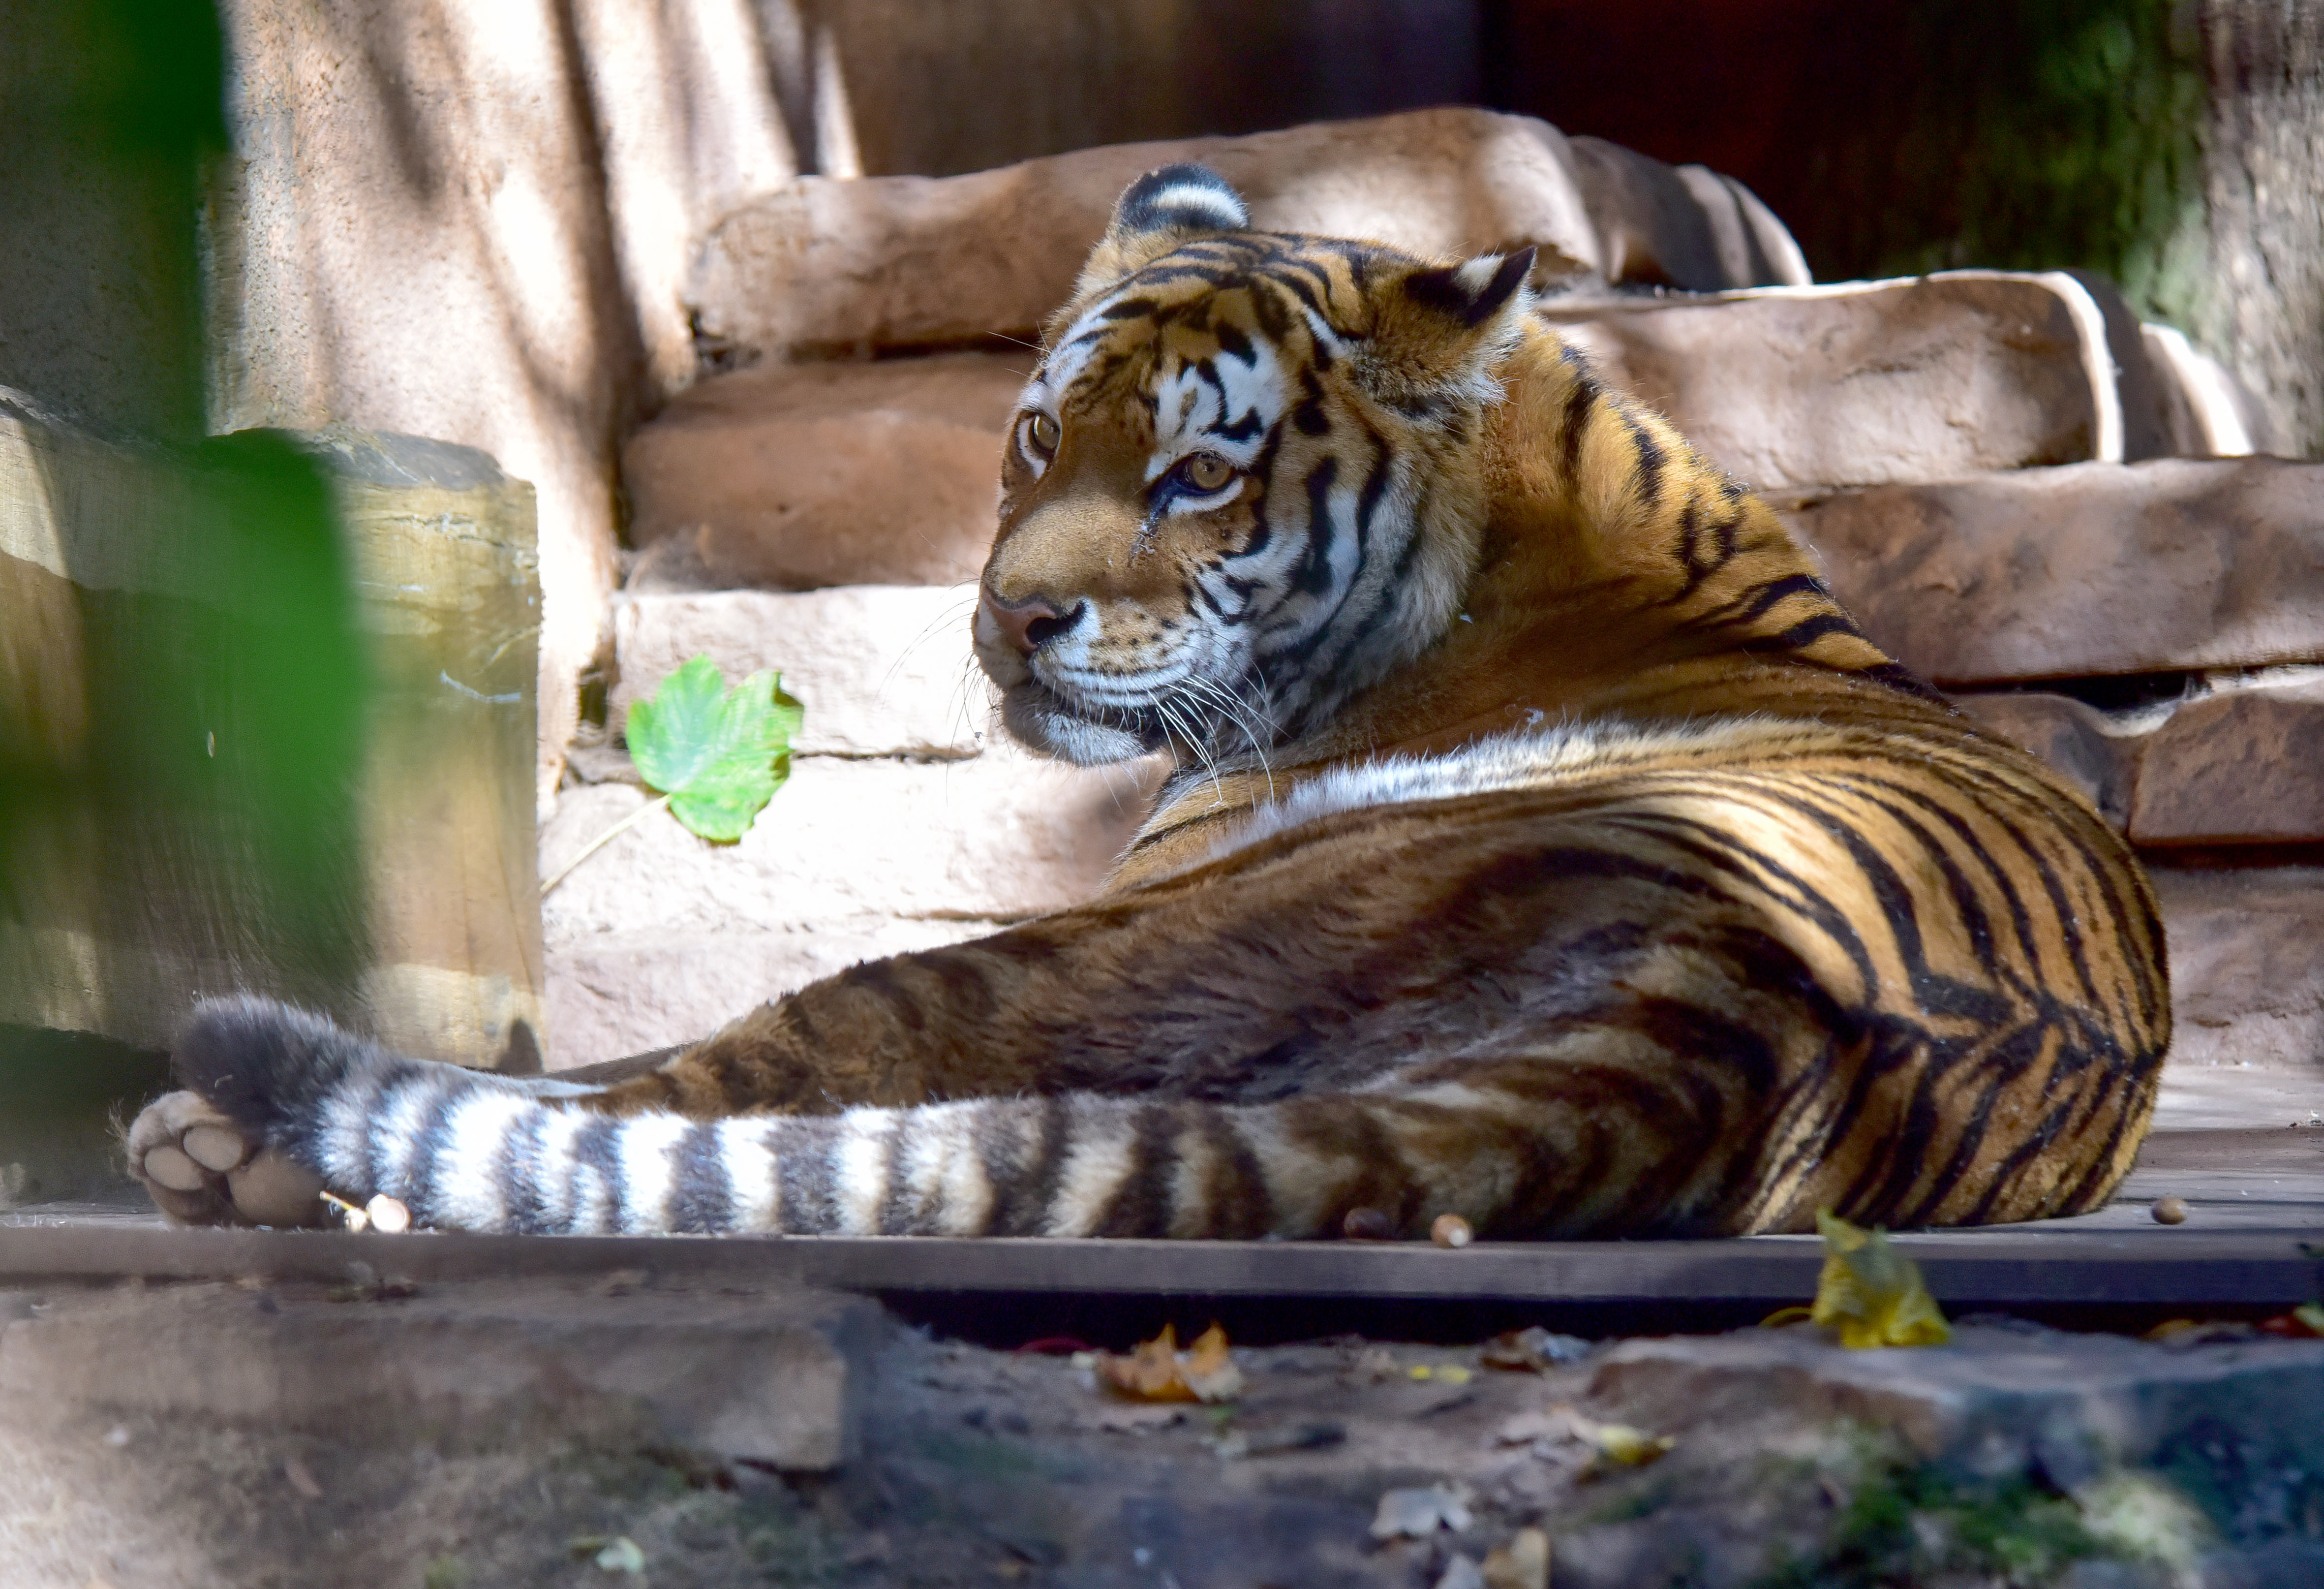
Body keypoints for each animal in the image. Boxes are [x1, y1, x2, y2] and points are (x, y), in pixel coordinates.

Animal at [127, 165, 2166, 1245]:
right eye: (1040, 435)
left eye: (1196, 478)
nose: (1012, 618)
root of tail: (1745, 1008)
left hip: (1105, 946)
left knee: (737, 1066)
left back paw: (230, 1148)